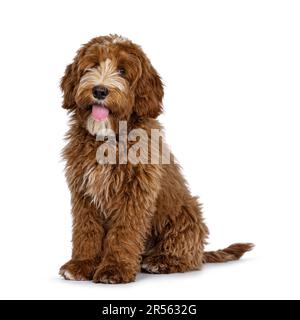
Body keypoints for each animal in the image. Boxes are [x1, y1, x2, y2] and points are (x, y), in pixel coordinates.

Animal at [59, 35, 253, 284]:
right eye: (92, 65)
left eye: (122, 71)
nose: (100, 90)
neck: (110, 138)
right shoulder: (84, 193)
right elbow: (86, 230)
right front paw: (82, 265)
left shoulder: (134, 194)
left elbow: (123, 232)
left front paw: (114, 268)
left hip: (185, 214)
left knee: (188, 257)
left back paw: (161, 262)